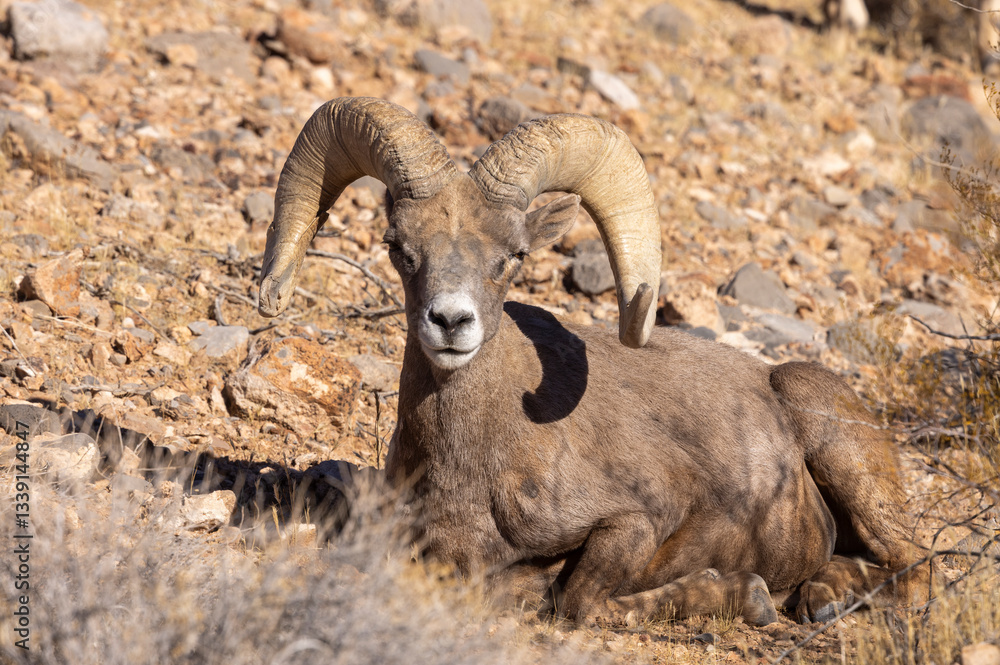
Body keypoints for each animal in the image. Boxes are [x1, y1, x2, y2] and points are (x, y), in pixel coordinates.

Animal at [257, 97, 928, 626]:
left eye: (514, 254)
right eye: (398, 247)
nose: (450, 323)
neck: (475, 464)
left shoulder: (637, 523)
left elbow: (577, 601)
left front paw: (742, 596)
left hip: (846, 460)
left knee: (915, 568)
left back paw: (820, 600)